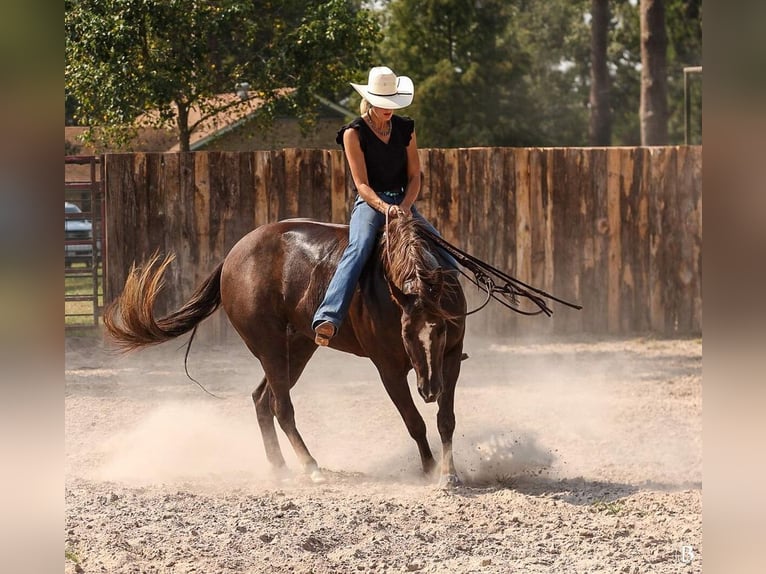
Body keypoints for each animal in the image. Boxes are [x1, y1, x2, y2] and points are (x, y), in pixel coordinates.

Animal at [104, 215, 467, 486]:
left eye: (442, 328)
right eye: (406, 333)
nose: (429, 388)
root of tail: (233, 256)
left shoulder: (450, 358)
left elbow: (446, 419)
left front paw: (450, 473)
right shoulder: (388, 368)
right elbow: (414, 421)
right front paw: (430, 469)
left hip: (299, 346)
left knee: (262, 400)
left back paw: (279, 467)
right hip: (271, 347)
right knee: (281, 406)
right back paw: (310, 467)